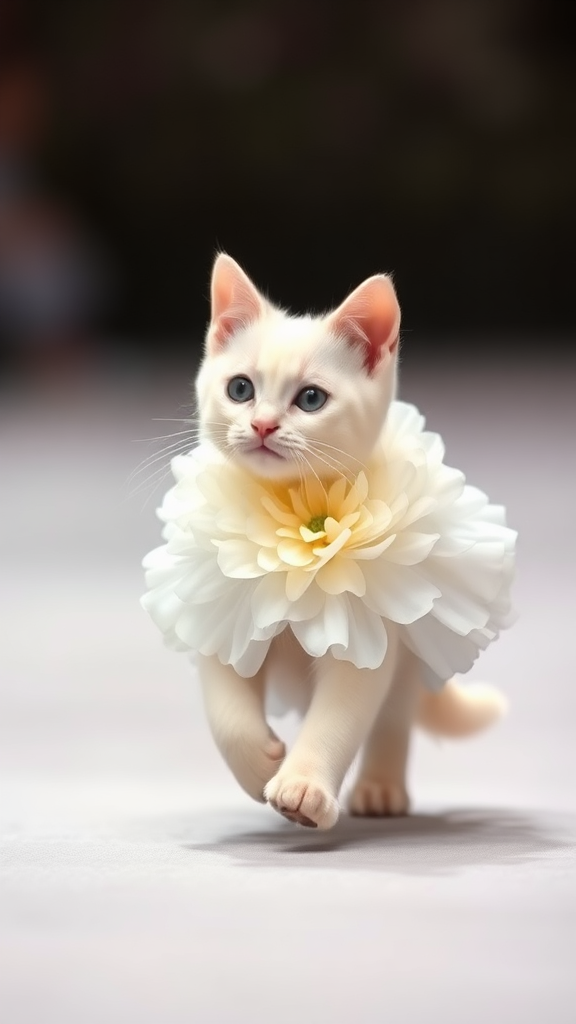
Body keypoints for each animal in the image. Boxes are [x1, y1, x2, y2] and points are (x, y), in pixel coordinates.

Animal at [192, 251, 502, 827]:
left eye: (311, 398)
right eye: (240, 389)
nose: (262, 425)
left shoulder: (368, 645)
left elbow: (340, 716)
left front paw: (303, 786)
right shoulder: (221, 612)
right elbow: (225, 710)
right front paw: (256, 761)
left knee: (393, 719)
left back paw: (381, 788)